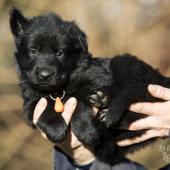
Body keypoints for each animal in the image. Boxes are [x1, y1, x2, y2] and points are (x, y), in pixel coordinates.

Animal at [9, 8, 170, 165]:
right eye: (33, 51)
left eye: (60, 52)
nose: (45, 75)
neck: (59, 91)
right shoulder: (30, 104)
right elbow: (44, 109)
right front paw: (56, 129)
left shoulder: (96, 80)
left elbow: (80, 102)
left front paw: (87, 132)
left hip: (125, 64)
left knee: (136, 90)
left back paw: (105, 105)